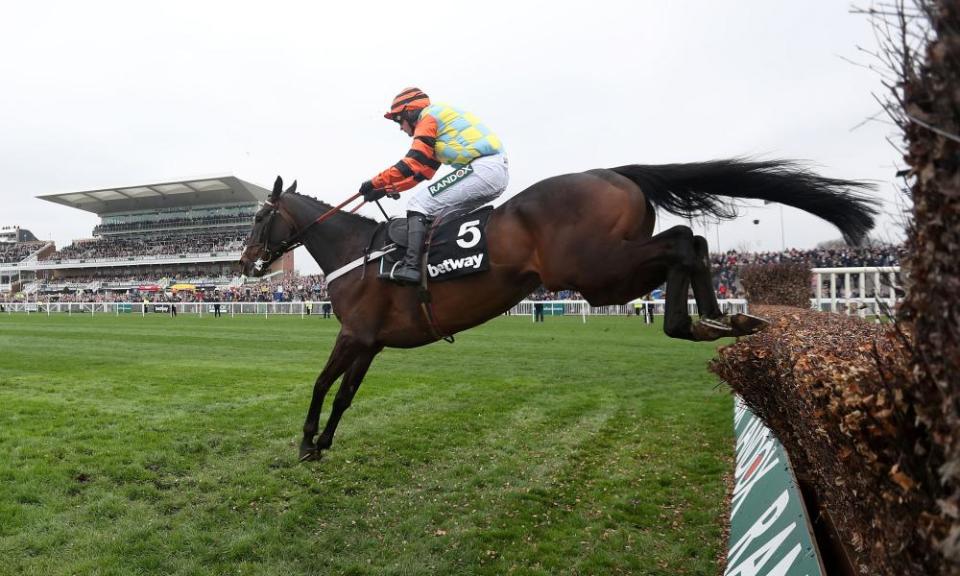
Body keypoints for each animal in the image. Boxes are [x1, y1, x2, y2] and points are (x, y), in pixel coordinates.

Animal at [240, 156, 876, 460]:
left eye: (256, 217)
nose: (246, 263)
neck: (357, 252)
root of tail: (614, 172)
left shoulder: (352, 333)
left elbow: (321, 384)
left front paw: (305, 443)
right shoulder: (371, 342)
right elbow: (345, 393)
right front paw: (324, 442)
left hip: (596, 272)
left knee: (682, 243)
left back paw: (695, 320)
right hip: (608, 273)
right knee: (688, 243)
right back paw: (720, 318)